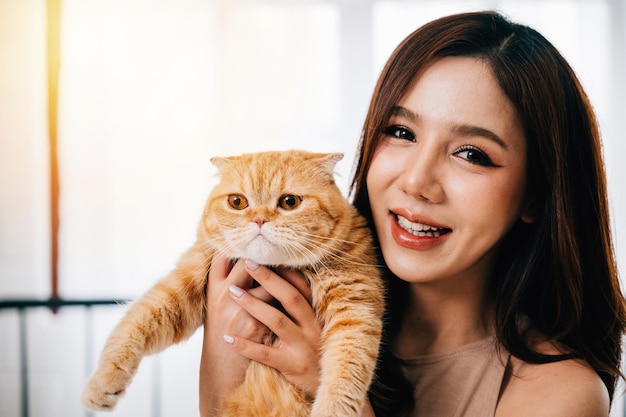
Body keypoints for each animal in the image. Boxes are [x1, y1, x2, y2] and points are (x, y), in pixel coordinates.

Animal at [81, 151, 386, 416]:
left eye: (290, 202)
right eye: (238, 202)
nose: (259, 219)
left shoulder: (355, 311)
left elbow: (346, 372)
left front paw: (330, 409)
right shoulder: (190, 275)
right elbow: (136, 321)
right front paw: (102, 383)